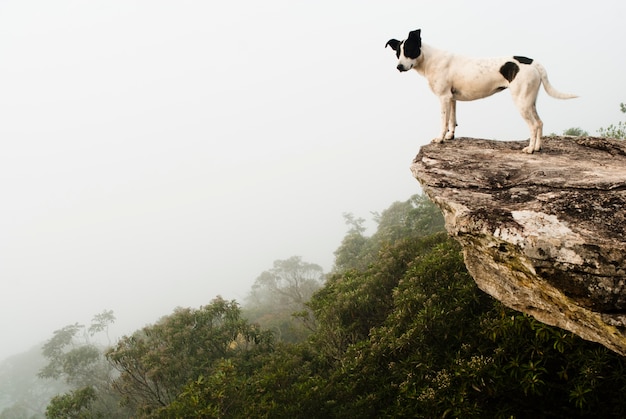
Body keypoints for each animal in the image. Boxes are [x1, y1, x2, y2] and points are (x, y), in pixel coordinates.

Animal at [386, 29, 576, 154]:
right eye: (397, 54)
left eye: (409, 50)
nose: (398, 67)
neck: (430, 59)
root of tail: (532, 62)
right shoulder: (451, 98)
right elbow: (452, 120)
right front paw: (450, 136)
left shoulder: (443, 98)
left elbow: (443, 121)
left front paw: (439, 139)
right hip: (530, 101)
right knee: (540, 122)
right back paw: (537, 147)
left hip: (521, 102)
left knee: (534, 125)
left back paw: (530, 149)